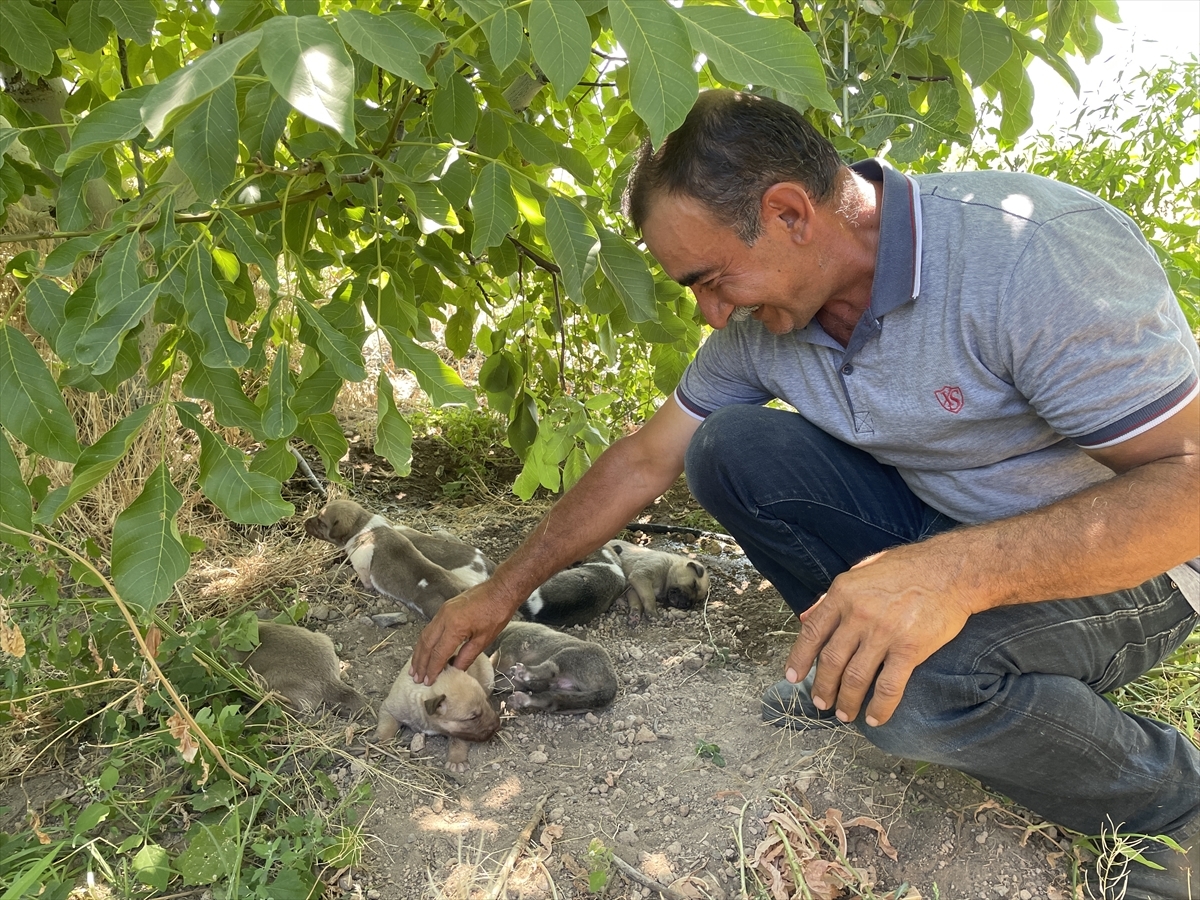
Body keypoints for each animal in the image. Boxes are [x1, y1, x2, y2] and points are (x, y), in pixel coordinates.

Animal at [487, 624, 619, 715]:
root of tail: (612, 684)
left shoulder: (507, 650)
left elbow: (493, 664)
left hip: (569, 655)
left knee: (551, 669)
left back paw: (523, 672)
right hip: (571, 695)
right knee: (552, 700)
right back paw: (521, 698)